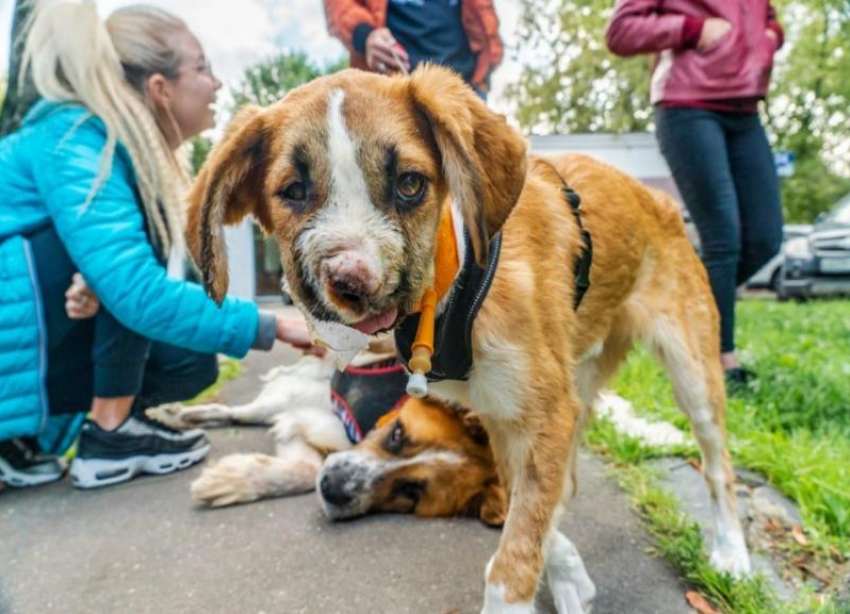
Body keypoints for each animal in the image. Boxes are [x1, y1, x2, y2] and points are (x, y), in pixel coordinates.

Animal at [148, 354, 504, 528]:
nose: (332, 486)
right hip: (285, 394)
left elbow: (305, 471)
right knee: (240, 411)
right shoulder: (300, 420)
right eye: (397, 433)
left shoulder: (300, 430)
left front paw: (231, 480)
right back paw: (177, 414)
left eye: (411, 492)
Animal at [187, 66, 748, 614]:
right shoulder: (509, 416)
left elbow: (514, 557)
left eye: (410, 185)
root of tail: (660, 198)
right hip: (577, 384)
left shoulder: (542, 416)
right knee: (566, 484)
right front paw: (565, 571)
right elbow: (530, 510)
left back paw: (732, 555)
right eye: (293, 191)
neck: (451, 285)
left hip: (692, 372)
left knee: (717, 466)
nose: (352, 284)